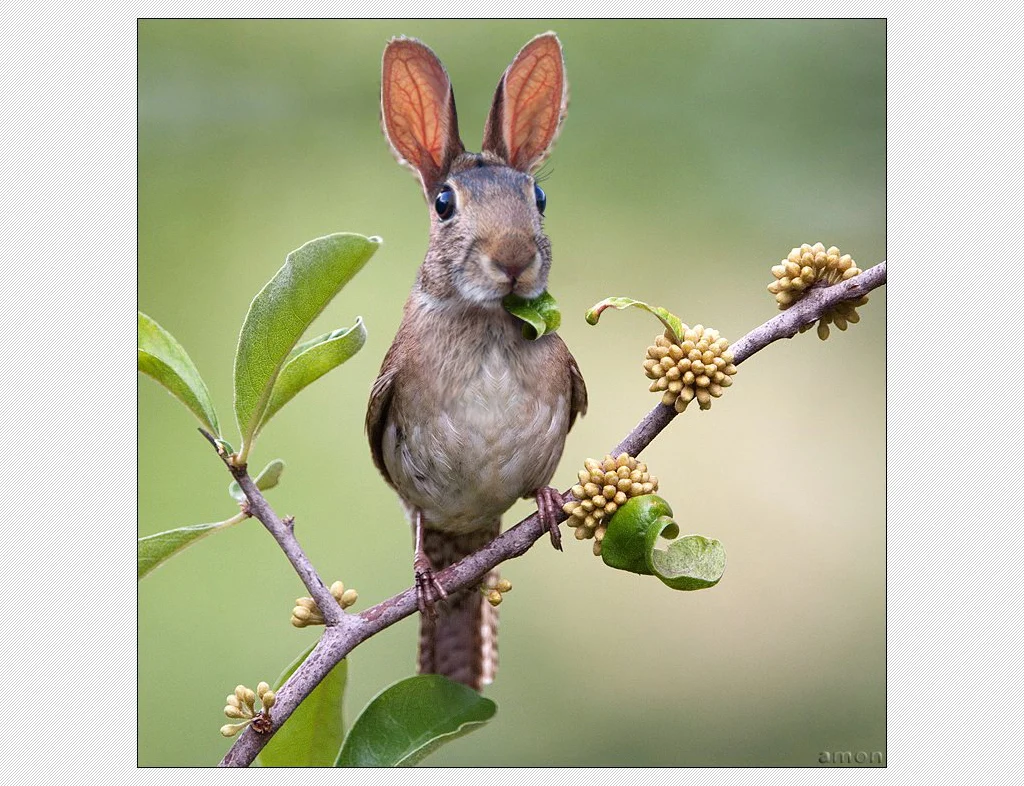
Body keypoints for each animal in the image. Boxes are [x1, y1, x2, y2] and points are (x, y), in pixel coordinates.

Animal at [366, 32, 587, 691]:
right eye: (444, 202)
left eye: (538, 197)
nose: (513, 257)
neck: (487, 324)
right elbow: (415, 514)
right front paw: (421, 573)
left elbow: (541, 480)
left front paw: (547, 502)